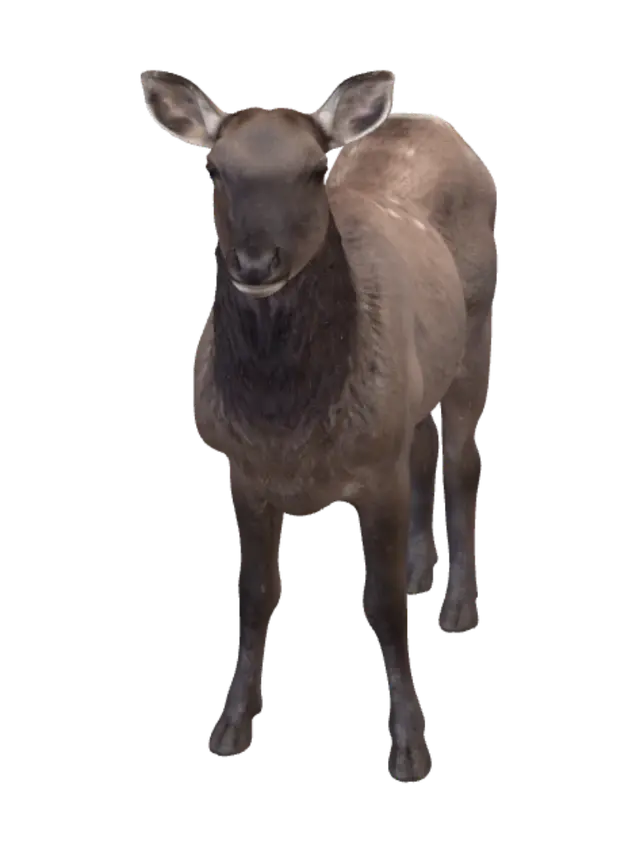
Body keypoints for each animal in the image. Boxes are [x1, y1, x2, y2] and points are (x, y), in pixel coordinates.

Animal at [139, 67, 496, 782]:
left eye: (313, 169)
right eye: (215, 168)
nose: (255, 263)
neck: (290, 429)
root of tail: (441, 129)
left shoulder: (375, 468)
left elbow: (381, 605)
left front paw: (411, 750)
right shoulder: (244, 471)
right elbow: (254, 596)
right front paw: (229, 729)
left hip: (479, 329)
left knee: (464, 462)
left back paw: (456, 608)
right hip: (414, 381)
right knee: (424, 448)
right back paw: (420, 572)